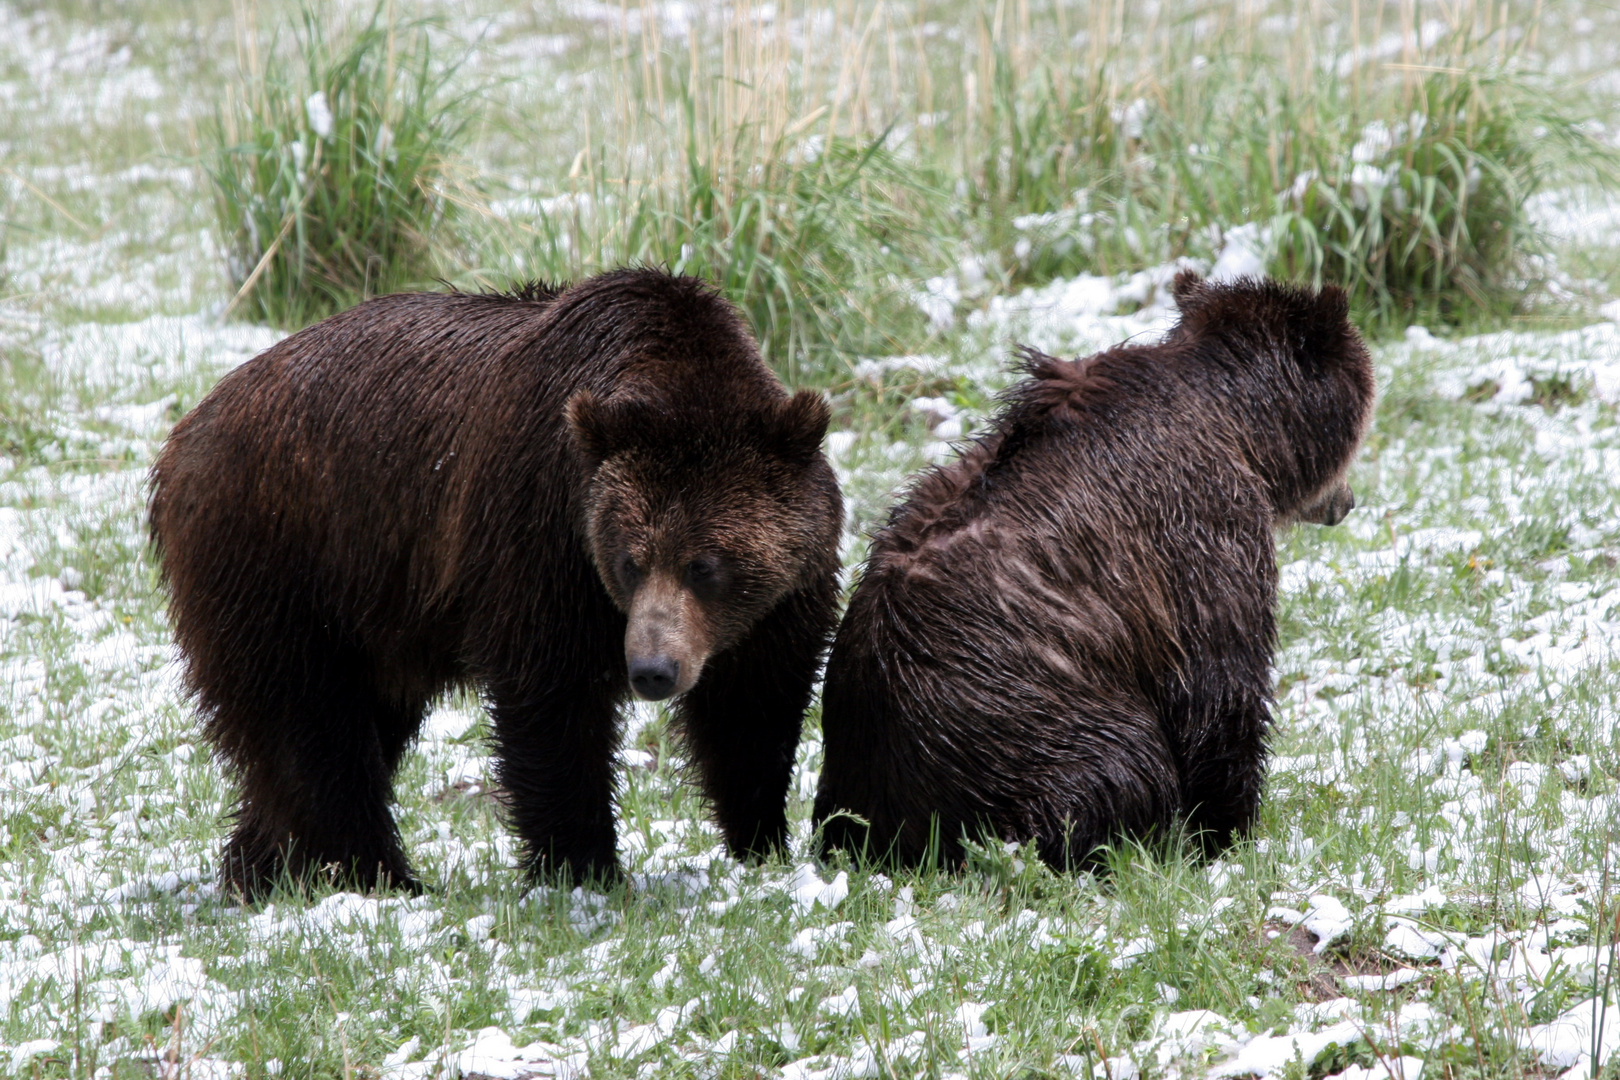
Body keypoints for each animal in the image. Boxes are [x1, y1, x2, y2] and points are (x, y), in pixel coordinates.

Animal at [149, 268, 848, 893]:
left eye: (704, 566)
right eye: (630, 561)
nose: (653, 670)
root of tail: (187, 433)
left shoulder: (781, 594)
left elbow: (753, 703)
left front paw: (761, 838)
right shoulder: (541, 531)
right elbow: (551, 695)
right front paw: (584, 863)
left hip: (368, 604)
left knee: (348, 723)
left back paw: (260, 867)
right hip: (287, 551)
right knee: (310, 721)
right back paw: (377, 873)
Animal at [816, 276, 1373, 867]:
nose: (1347, 501)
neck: (1238, 426)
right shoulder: (1201, 527)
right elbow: (1220, 682)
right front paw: (1227, 834)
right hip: (1031, 729)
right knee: (1121, 768)